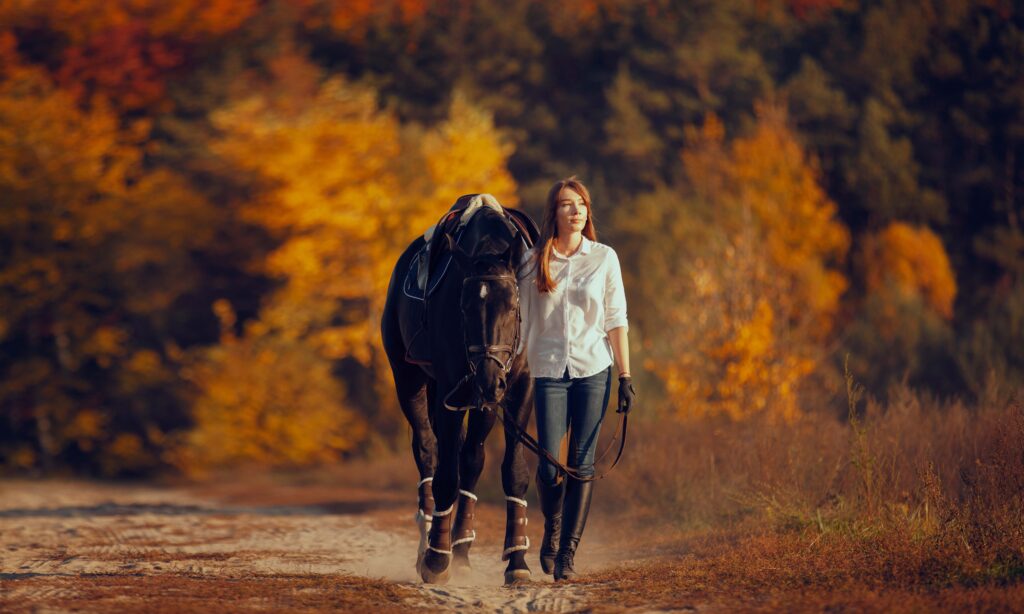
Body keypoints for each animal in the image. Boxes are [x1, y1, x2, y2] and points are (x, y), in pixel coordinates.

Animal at [380, 196, 540, 585]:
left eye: (514, 306)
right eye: (464, 307)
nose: (488, 378)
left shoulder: (520, 388)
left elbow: (513, 472)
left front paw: (517, 560)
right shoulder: (448, 394)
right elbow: (445, 476)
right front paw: (436, 559)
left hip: (483, 403)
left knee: (472, 458)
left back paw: (463, 548)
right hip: (409, 381)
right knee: (428, 452)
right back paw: (428, 541)